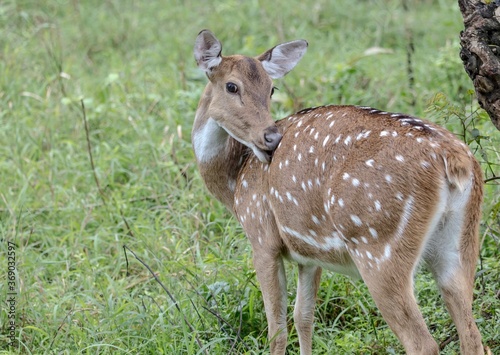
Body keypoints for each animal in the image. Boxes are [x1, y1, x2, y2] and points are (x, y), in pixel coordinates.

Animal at [190, 29, 484, 354]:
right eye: (232, 86)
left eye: (271, 89)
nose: (271, 138)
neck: (235, 182)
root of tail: (456, 160)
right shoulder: (308, 251)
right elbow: (303, 317)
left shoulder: (261, 236)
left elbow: (276, 329)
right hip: (461, 242)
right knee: (472, 334)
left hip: (377, 245)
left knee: (423, 343)